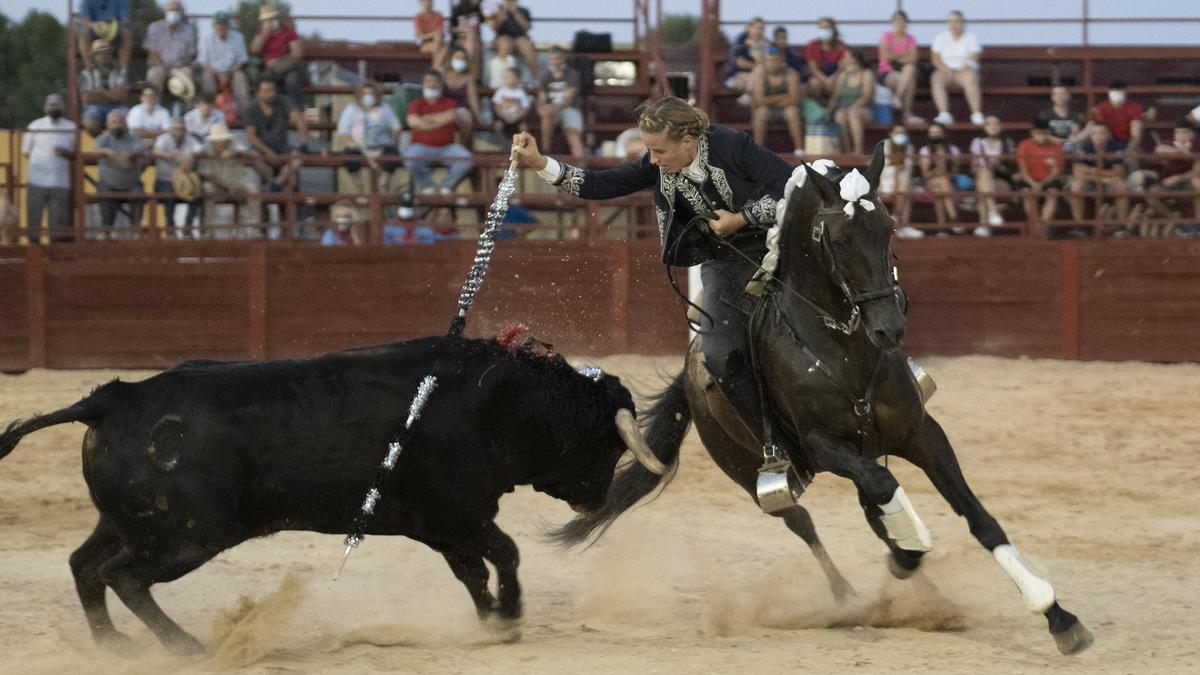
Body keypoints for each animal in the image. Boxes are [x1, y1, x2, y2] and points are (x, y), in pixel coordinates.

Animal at [0, 333, 667, 653]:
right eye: (606, 445)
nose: (595, 501)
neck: (502, 402)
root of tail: (109, 399)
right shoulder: (460, 513)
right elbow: (505, 553)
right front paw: (512, 615)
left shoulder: (442, 526)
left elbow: (473, 571)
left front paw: (491, 620)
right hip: (185, 536)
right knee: (123, 575)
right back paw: (186, 647)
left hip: (128, 522)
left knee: (84, 565)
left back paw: (114, 647)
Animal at [556, 140, 1094, 653]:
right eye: (837, 239)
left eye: (889, 227)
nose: (889, 327)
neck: (843, 350)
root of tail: (689, 372)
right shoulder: (822, 445)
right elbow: (885, 489)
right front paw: (912, 547)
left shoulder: (921, 433)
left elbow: (977, 517)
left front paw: (1057, 615)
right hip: (752, 472)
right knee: (804, 522)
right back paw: (852, 597)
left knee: (871, 509)